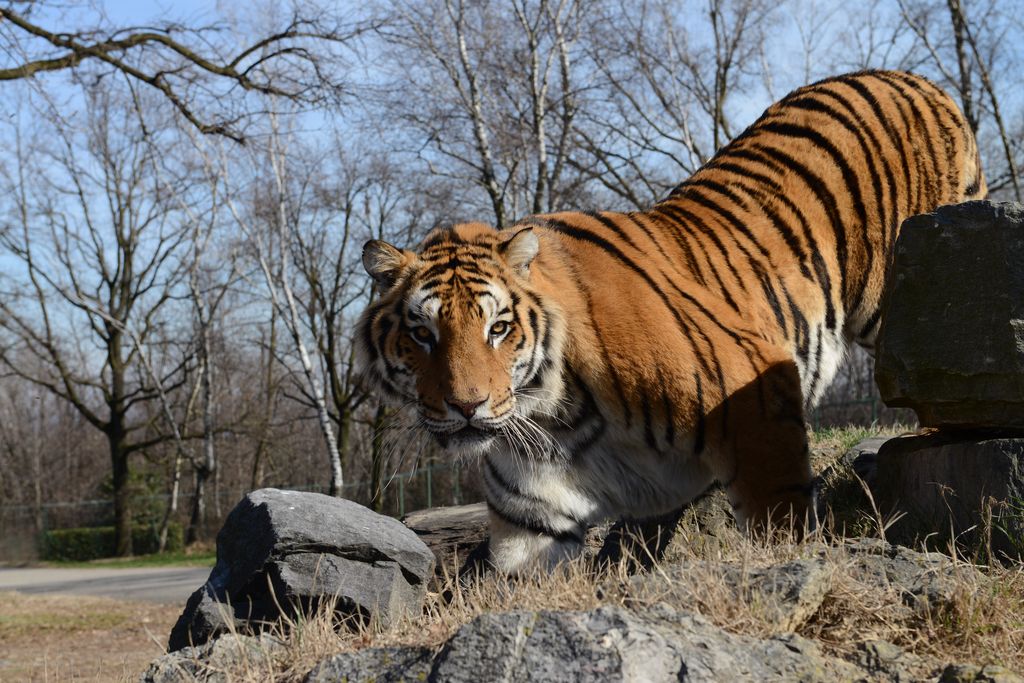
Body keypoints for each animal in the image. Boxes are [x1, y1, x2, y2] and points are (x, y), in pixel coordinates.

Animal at [356, 70, 985, 574]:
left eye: (498, 329)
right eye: (422, 334)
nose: (467, 407)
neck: (557, 418)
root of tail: (914, 79)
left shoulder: (757, 394)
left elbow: (778, 524)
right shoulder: (532, 517)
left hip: (906, 296)